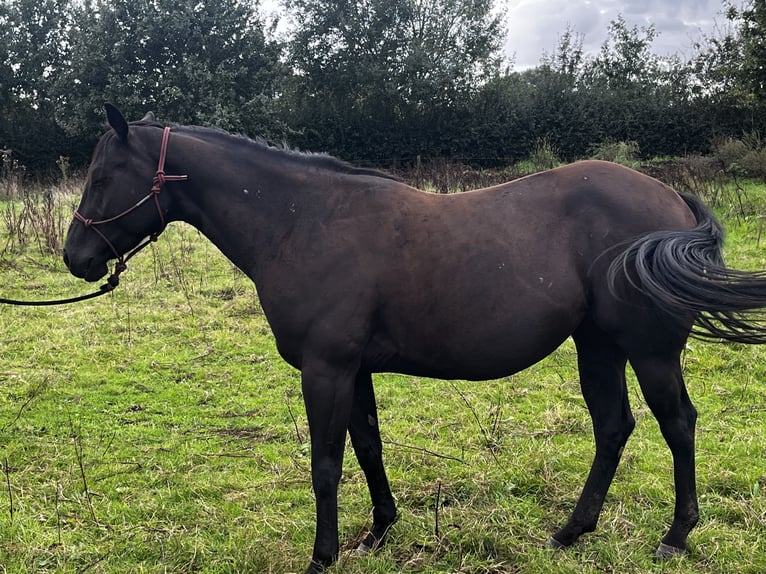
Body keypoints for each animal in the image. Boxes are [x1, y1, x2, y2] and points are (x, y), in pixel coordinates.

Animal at [63, 105, 766, 573]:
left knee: (677, 423)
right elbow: (368, 448)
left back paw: (676, 535)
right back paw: (571, 531)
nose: (76, 259)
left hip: (649, 352)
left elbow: (325, 464)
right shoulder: (353, 370)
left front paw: (322, 557)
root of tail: (671, 199)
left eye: (101, 177)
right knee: (613, 426)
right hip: (596, 346)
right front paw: (379, 531)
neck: (302, 221)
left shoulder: (325, 368)